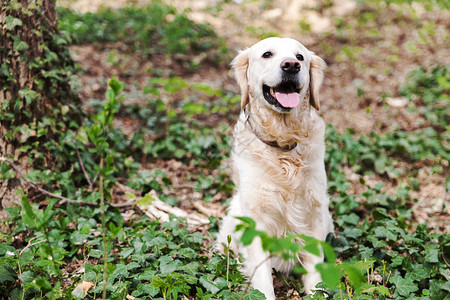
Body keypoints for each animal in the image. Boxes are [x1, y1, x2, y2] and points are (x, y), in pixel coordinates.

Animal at [218, 37, 334, 298]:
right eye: (267, 54)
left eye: (300, 57)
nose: (291, 65)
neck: (282, 145)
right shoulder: (255, 221)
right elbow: (262, 281)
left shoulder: (315, 212)